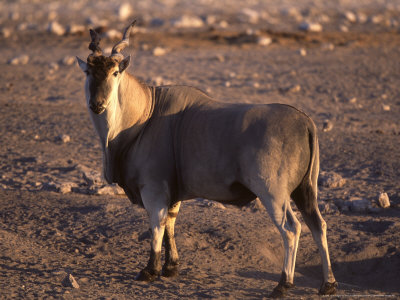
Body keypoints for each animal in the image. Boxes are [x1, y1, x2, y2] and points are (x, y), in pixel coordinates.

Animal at [76, 21, 338, 298]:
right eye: (88, 73)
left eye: (115, 73)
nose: (97, 104)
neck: (146, 115)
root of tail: (305, 121)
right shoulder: (172, 194)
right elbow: (170, 223)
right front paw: (171, 267)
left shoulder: (153, 190)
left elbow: (156, 226)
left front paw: (150, 270)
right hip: (305, 191)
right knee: (319, 225)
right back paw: (328, 284)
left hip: (273, 194)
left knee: (291, 229)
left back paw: (283, 284)